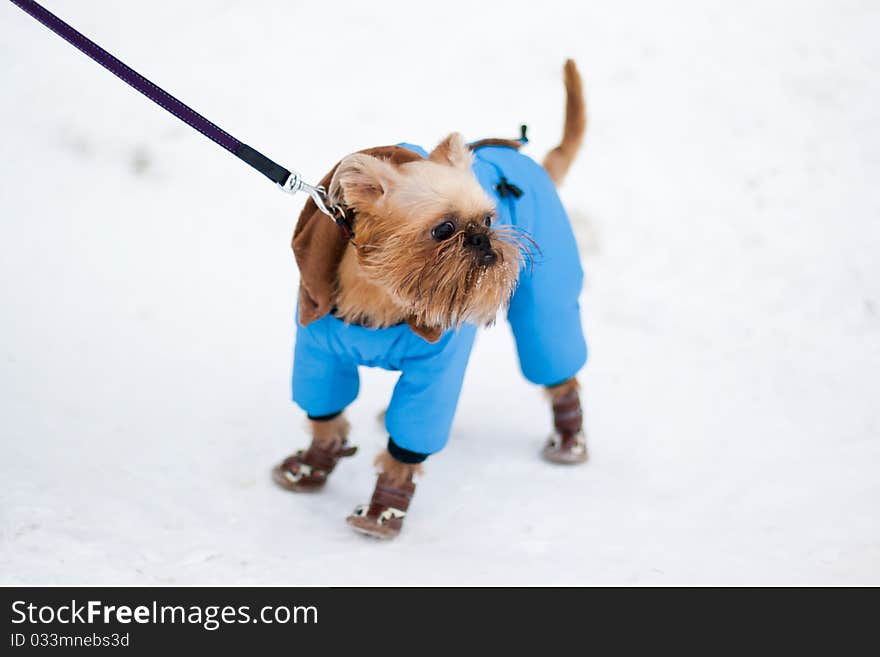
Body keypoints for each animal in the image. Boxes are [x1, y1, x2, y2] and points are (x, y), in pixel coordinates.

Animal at [274, 59, 592, 536]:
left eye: (488, 219)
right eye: (443, 229)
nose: (482, 239)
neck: (383, 292)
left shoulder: (434, 370)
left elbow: (409, 441)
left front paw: (383, 508)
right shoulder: (319, 353)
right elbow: (326, 416)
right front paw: (312, 465)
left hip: (546, 302)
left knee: (556, 363)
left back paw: (569, 438)